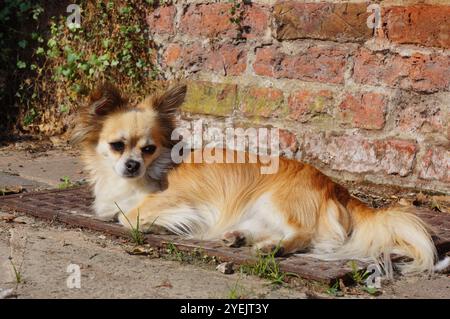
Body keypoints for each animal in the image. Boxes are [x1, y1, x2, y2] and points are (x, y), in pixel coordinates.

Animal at [73, 83, 440, 276]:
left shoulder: (181, 199)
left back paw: (273, 248)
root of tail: (338, 188)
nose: (132, 165)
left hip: (275, 200)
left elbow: (128, 215)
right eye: (117, 146)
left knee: (305, 235)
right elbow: (116, 211)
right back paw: (241, 238)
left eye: (148, 149)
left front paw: (157, 225)